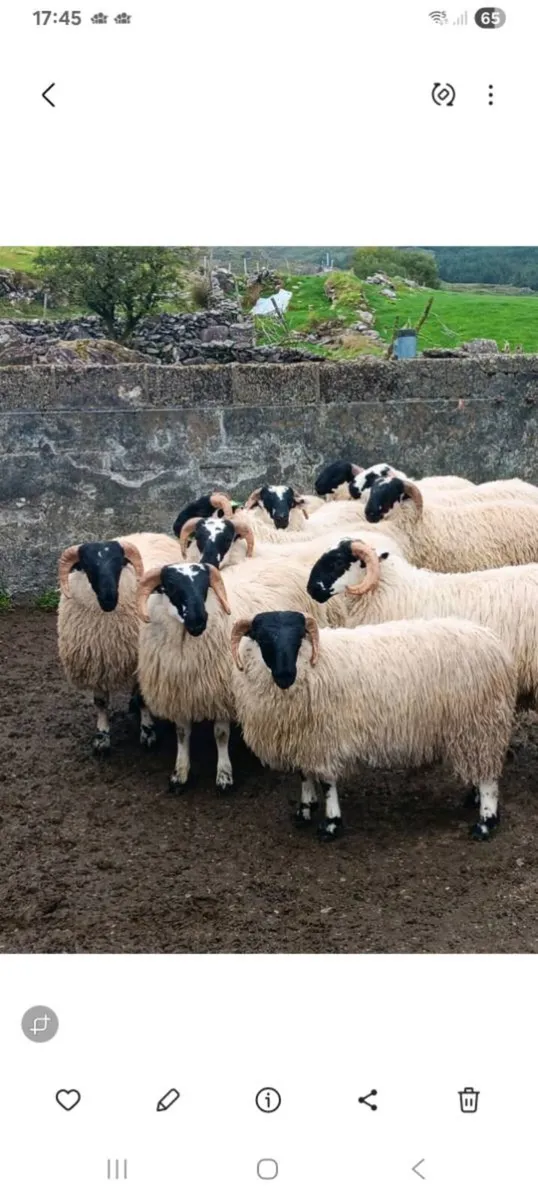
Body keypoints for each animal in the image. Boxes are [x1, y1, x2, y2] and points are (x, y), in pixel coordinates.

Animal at [57, 531, 182, 753]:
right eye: (88, 566)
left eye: (118, 563)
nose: (109, 598)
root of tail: (156, 533)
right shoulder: (96, 662)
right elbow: (100, 702)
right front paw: (102, 737)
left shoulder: (140, 662)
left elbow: (142, 699)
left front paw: (147, 732)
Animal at [136, 556, 345, 794]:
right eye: (170, 586)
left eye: (205, 587)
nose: (199, 620)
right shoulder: (179, 693)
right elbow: (182, 734)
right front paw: (179, 774)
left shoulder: (222, 693)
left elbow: (220, 735)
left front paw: (224, 775)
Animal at [230, 610, 517, 841]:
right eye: (262, 638)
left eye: (298, 637)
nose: (285, 676)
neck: (312, 665)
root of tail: (496, 645)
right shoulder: (304, 740)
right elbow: (304, 775)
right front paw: (304, 809)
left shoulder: (325, 738)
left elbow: (327, 783)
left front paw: (331, 824)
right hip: (469, 730)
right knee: (478, 767)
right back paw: (474, 797)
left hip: (481, 724)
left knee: (489, 777)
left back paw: (485, 822)